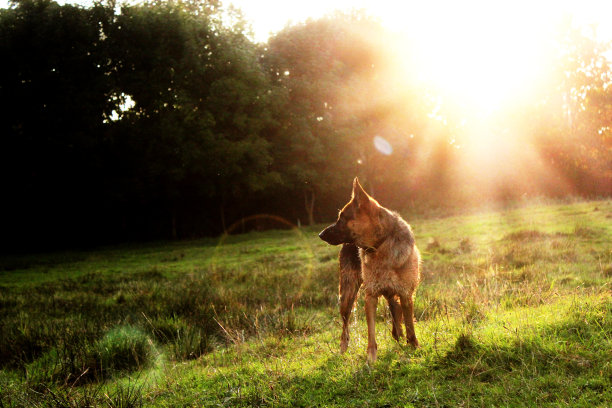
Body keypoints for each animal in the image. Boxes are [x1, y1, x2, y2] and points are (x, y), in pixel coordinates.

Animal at [318, 177, 418, 362]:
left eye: (342, 218)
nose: (320, 234)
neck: (381, 245)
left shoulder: (406, 294)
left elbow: (409, 324)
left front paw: (413, 346)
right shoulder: (370, 296)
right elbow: (371, 333)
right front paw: (370, 360)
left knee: (396, 311)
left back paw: (398, 335)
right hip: (347, 294)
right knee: (345, 325)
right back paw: (343, 348)